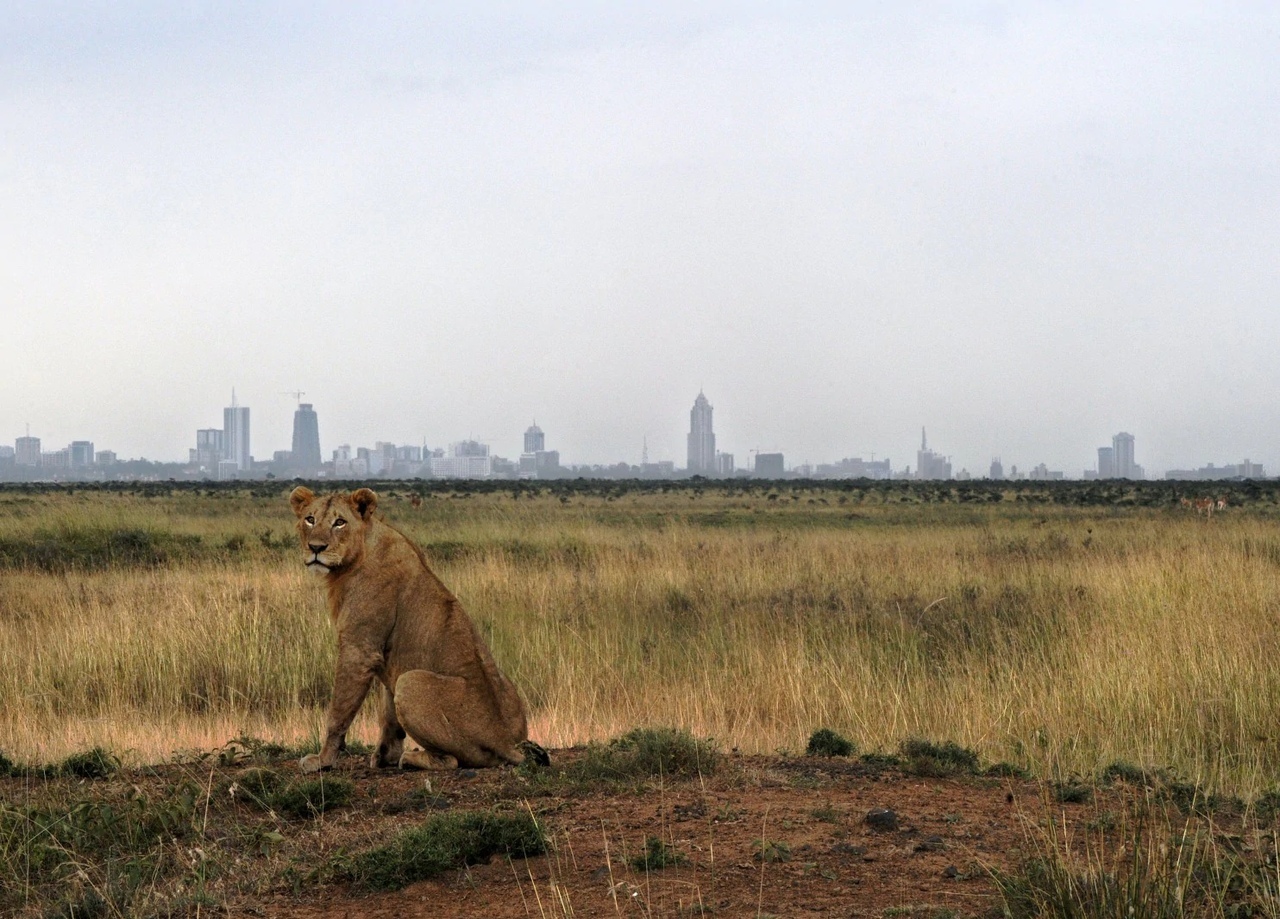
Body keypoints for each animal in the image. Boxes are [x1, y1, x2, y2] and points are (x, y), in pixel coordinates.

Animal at [288, 486, 542, 773]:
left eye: (339, 522)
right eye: (310, 519)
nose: (315, 548)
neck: (355, 558)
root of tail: (505, 741)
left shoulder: (359, 650)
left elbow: (338, 713)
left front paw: (322, 761)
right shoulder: (386, 660)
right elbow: (388, 716)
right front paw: (384, 756)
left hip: (411, 681)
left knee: (452, 760)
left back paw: (412, 758)